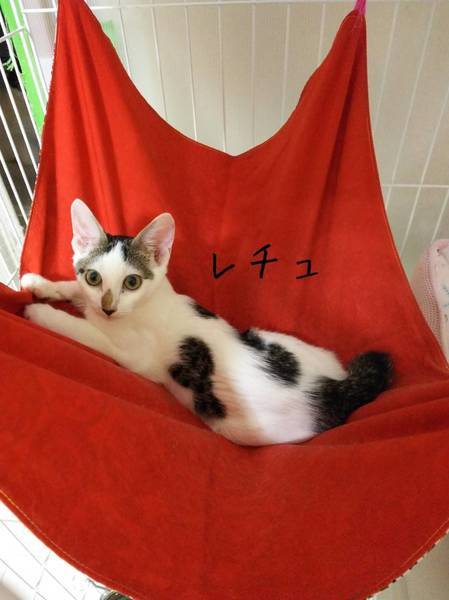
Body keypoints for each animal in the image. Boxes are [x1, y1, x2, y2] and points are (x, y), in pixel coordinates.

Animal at [22, 199, 393, 446]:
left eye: (132, 282)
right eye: (94, 277)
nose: (109, 306)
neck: (146, 304)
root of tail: (336, 387)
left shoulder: (133, 354)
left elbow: (84, 329)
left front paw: (42, 312)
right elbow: (77, 294)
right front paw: (38, 283)